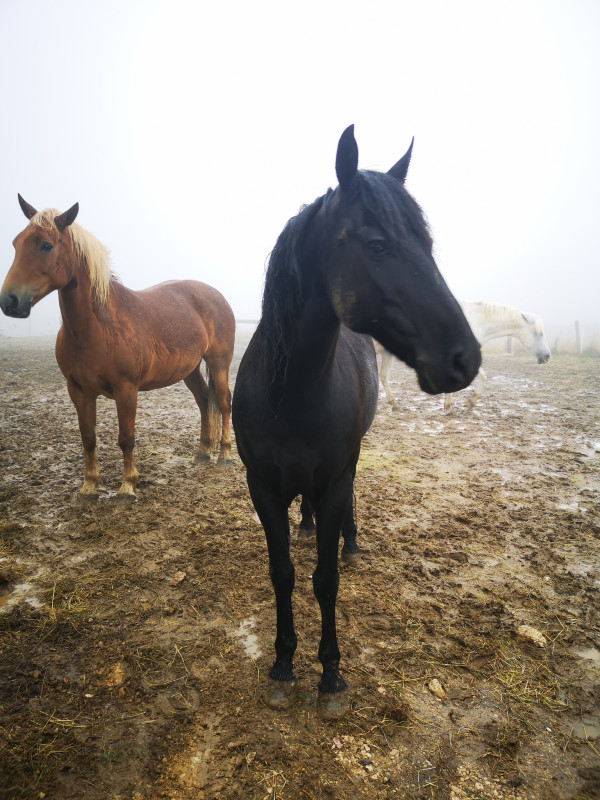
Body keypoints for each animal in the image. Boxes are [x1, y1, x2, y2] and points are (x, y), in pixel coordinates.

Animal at [1, 195, 236, 494]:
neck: (98, 327)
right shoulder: (78, 391)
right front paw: (89, 486)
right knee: (204, 400)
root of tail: (215, 294)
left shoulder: (126, 391)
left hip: (219, 363)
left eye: (46, 245)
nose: (9, 301)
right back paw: (203, 452)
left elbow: (126, 438)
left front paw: (127, 486)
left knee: (223, 403)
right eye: (15, 243)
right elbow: (88, 438)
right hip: (190, 369)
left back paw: (224, 455)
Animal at [232, 126, 480, 720]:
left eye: (427, 243)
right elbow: (282, 573)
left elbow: (325, 580)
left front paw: (329, 674)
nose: (465, 357)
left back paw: (347, 537)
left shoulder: (335, 476)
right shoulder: (261, 485)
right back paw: (308, 524)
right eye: (377, 244)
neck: (292, 392)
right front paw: (282, 664)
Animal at [378, 302, 552, 412]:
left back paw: (394, 405)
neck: (473, 321)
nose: (547, 356)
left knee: (384, 376)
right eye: (539, 333)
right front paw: (460, 405)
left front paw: (463, 404)